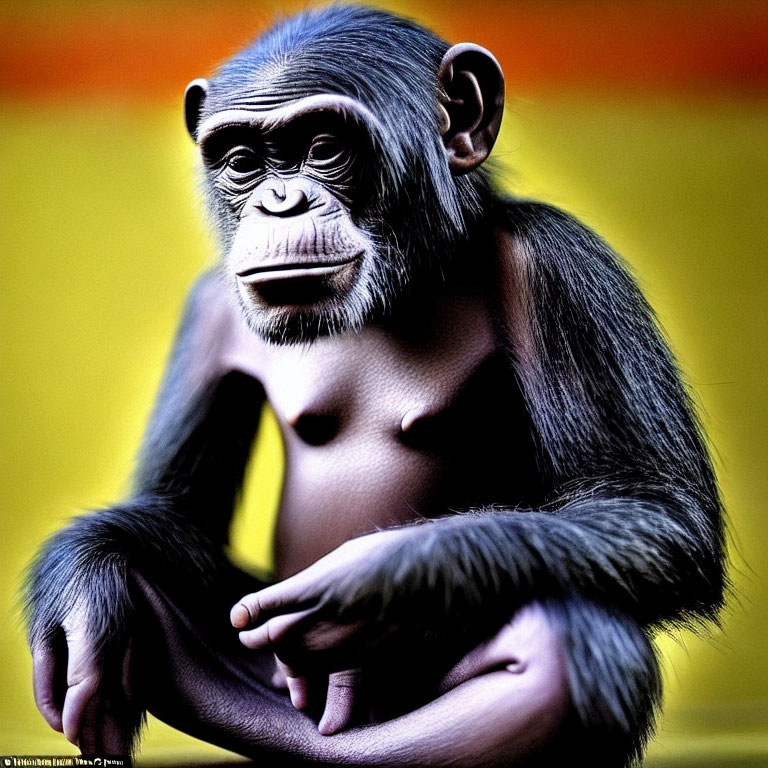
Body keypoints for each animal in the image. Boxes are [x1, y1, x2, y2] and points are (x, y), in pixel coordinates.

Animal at [21, 7, 724, 768]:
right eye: (242, 163)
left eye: (325, 148)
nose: (280, 202)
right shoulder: (208, 311)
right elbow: (180, 508)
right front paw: (82, 589)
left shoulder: (563, 264)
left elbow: (655, 507)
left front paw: (368, 588)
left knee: (567, 642)